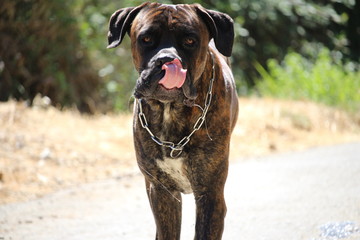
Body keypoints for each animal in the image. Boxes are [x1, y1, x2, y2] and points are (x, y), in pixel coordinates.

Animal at [107, 2, 239, 240]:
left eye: (190, 41)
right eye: (146, 38)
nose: (168, 59)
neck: (170, 111)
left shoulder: (210, 194)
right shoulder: (162, 193)